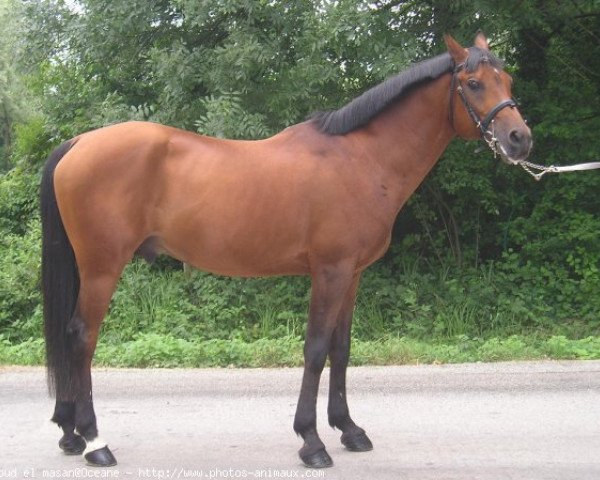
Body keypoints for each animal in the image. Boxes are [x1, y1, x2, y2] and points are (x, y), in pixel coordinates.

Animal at [41, 34, 528, 468]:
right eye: (473, 84)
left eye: (506, 80)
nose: (520, 138)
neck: (361, 158)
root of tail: (79, 142)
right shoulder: (330, 272)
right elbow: (315, 350)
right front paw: (311, 441)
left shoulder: (353, 274)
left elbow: (341, 350)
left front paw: (349, 429)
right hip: (102, 268)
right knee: (82, 337)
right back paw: (95, 442)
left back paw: (69, 434)